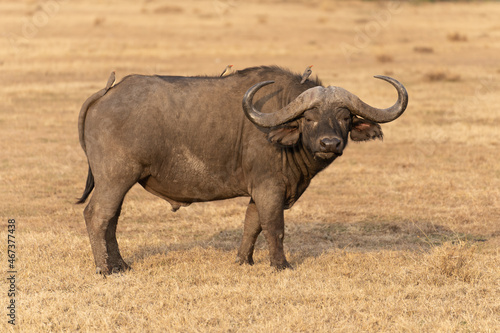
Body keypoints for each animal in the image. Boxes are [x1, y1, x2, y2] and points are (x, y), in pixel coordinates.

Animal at [77, 65, 406, 272]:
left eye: (345, 117)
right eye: (309, 118)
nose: (330, 143)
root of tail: (107, 93)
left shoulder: (260, 191)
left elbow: (252, 224)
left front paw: (243, 261)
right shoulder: (270, 188)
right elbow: (274, 226)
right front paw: (281, 265)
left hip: (118, 183)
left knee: (111, 221)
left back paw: (120, 265)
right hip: (116, 178)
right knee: (97, 216)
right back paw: (105, 268)